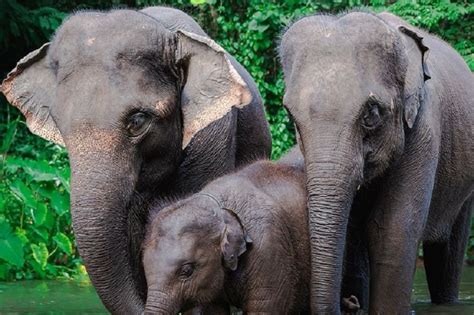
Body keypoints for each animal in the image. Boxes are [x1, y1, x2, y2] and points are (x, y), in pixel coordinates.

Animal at [280, 11, 472, 314]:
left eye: (371, 113)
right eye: (291, 115)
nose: (350, 302)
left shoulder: (424, 131)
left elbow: (391, 229)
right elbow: (355, 232)